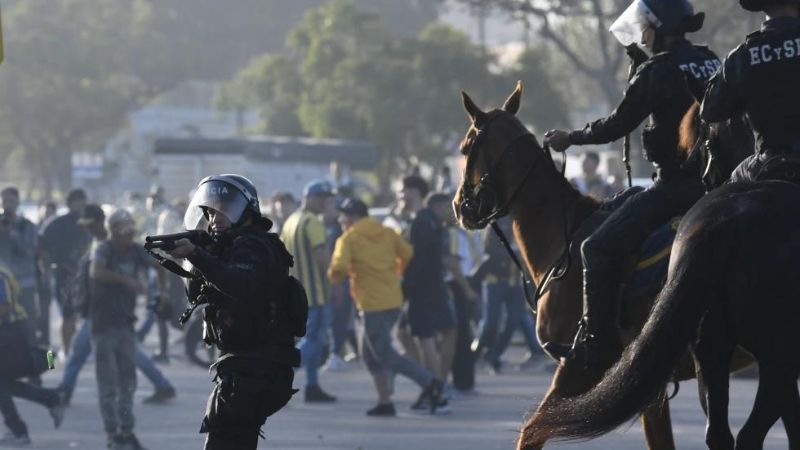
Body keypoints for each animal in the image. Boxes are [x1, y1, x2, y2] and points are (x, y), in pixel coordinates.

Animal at [454, 82, 752, 448]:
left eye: (466, 147)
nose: (459, 206)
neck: (563, 235)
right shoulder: (645, 387)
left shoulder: (577, 370)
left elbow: (531, 431)